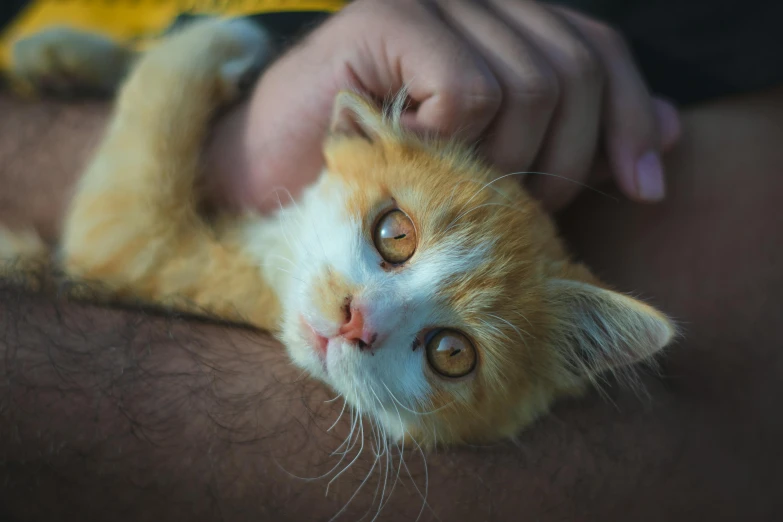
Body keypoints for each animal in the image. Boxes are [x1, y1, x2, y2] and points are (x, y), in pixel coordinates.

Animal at [0, 18, 676, 444]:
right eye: (395, 234)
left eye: (452, 354)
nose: (356, 320)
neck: (266, 260)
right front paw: (57, 54)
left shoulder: (139, 250)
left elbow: (152, 120)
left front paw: (230, 33)